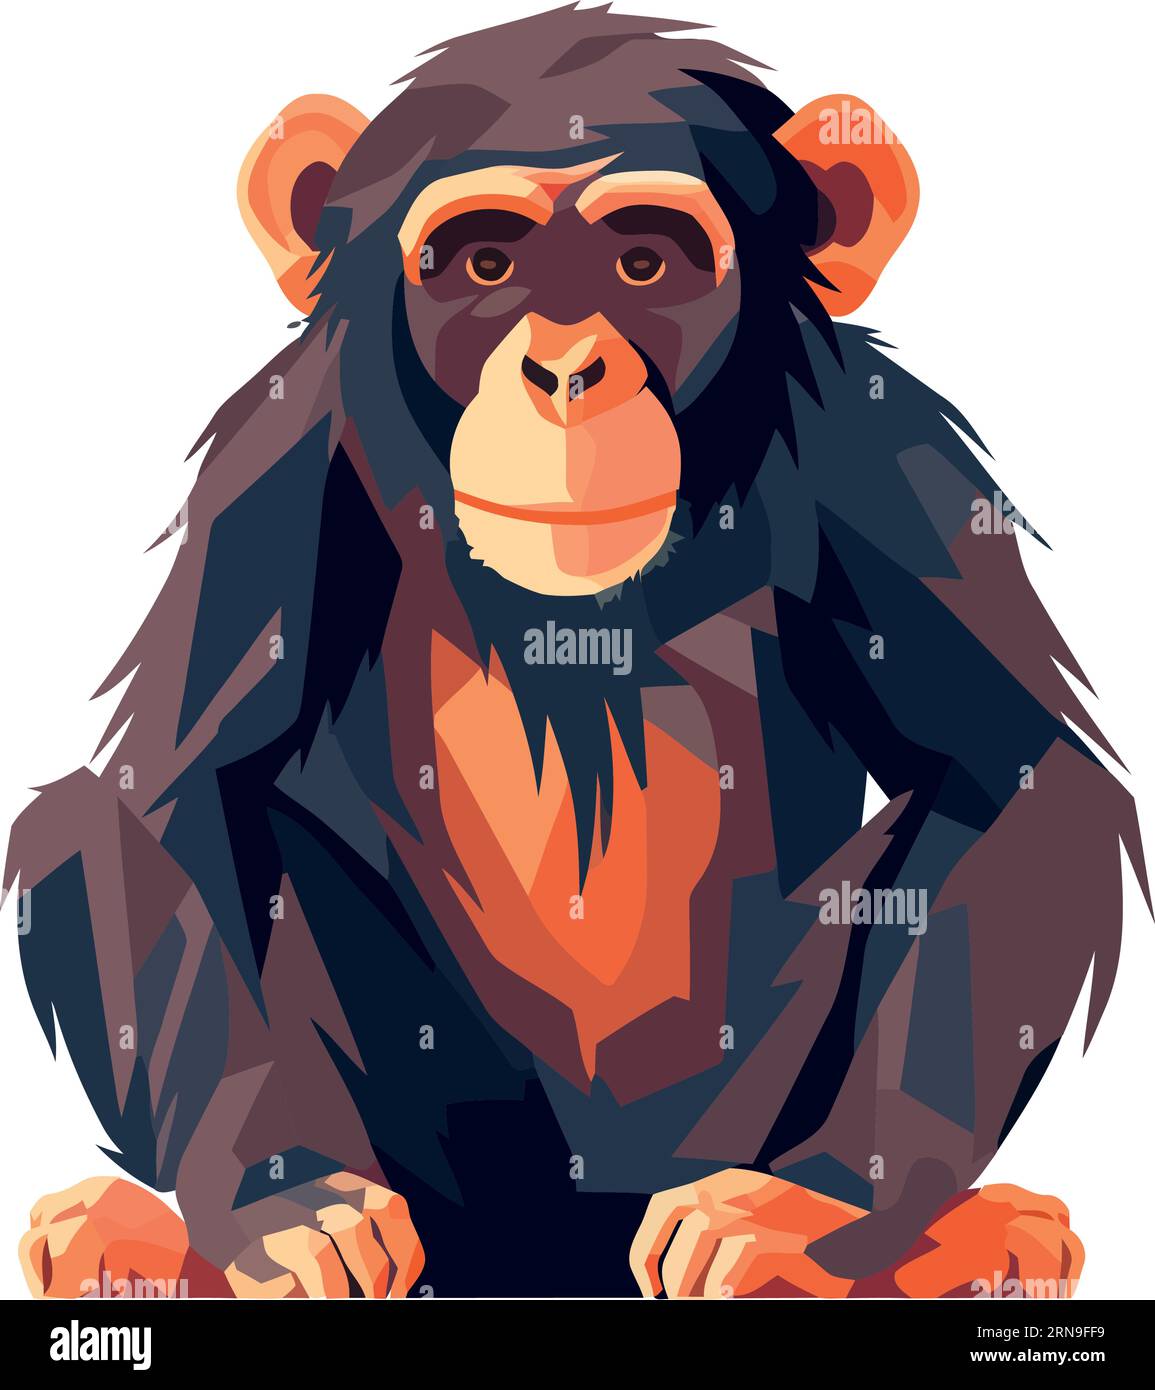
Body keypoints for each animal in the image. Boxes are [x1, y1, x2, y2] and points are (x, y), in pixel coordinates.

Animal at [7, 5, 1146, 1299]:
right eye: (484, 267)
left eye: (645, 264)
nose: (564, 371)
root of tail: (562, 1249)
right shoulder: (277, 458)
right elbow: (165, 795)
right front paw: (288, 1205)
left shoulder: (882, 448)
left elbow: (1014, 781)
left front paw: (794, 1209)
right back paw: (126, 1234)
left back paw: (973, 1236)